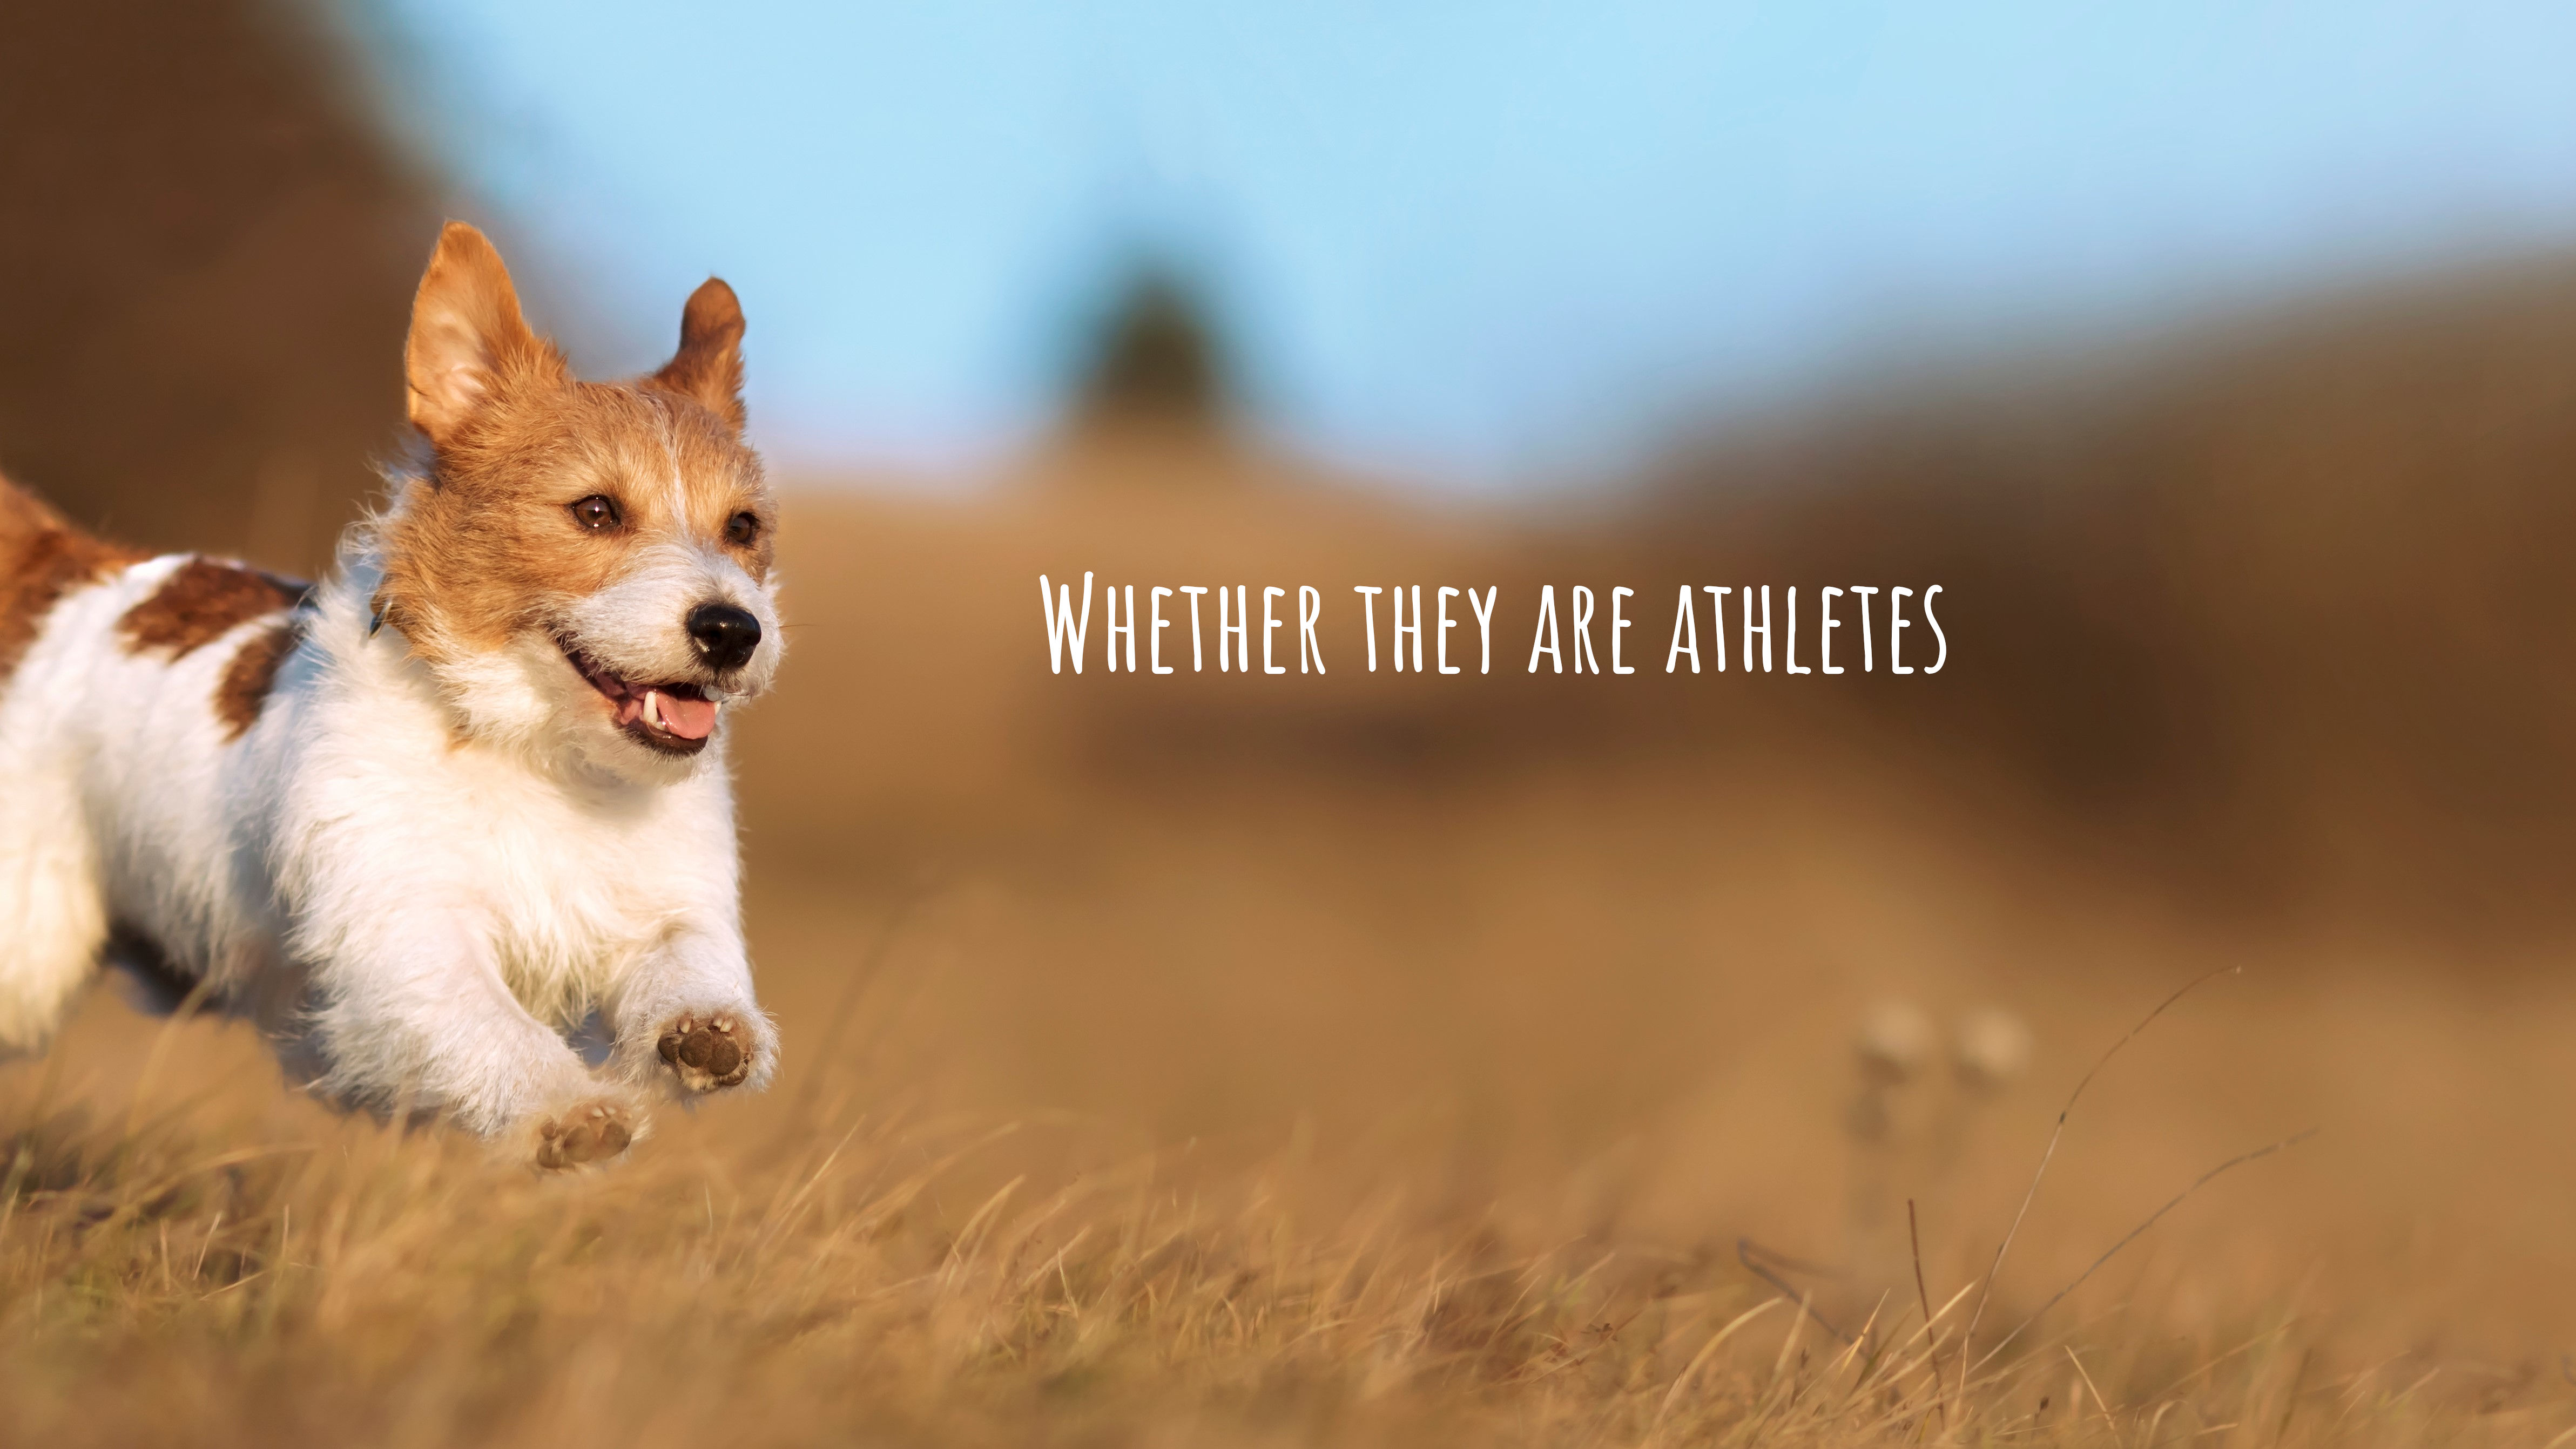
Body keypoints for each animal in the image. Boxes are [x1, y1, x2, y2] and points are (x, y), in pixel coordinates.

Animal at [0, 229, 783, 1179]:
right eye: (596, 511)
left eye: (742, 527)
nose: (732, 630)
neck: (538, 754)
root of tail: (71, 565)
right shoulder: (406, 934)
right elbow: (483, 1021)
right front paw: (568, 1109)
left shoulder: (666, 899)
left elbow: (687, 958)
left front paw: (706, 1029)